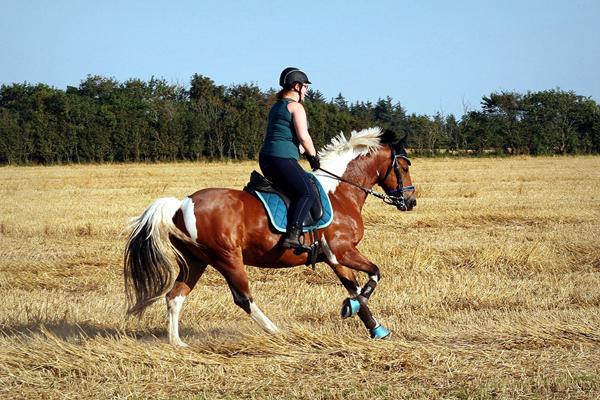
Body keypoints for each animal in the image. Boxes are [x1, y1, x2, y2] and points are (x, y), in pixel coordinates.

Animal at [123, 126, 414, 346]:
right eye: (404, 166)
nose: (410, 202)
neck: (340, 192)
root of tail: (181, 203)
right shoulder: (343, 250)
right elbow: (374, 274)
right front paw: (352, 308)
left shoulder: (334, 257)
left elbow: (355, 288)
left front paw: (375, 327)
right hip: (228, 259)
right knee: (243, 298)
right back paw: (276, 331)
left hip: (195, 262)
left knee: (175, 297)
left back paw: (177, 342)